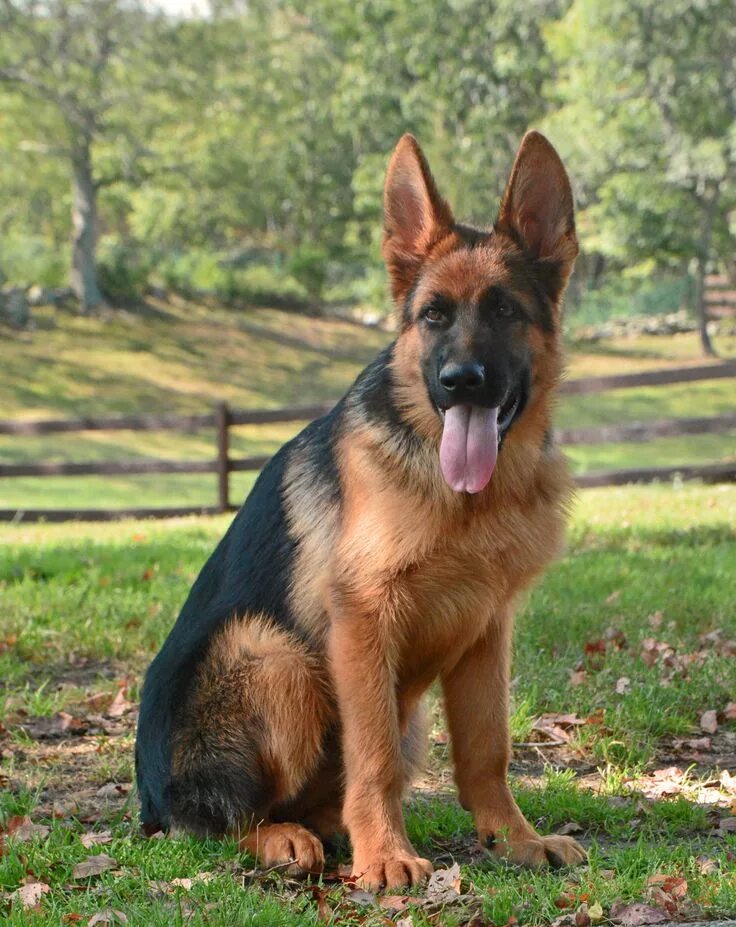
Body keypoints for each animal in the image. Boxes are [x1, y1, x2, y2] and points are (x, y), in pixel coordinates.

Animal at [135, 132, 588, 892]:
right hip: (274, 655)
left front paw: (515, 838)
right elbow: (371, 756)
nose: (460, 381)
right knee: (220, 819)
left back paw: (329, 827)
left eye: (504, 310)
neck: (466, 498)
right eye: (433, 315)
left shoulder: (487, 630)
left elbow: (488, 750)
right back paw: (285, 838)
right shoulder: (365, 621)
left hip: (401, 708)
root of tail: (148, 798)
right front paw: (386, 856)